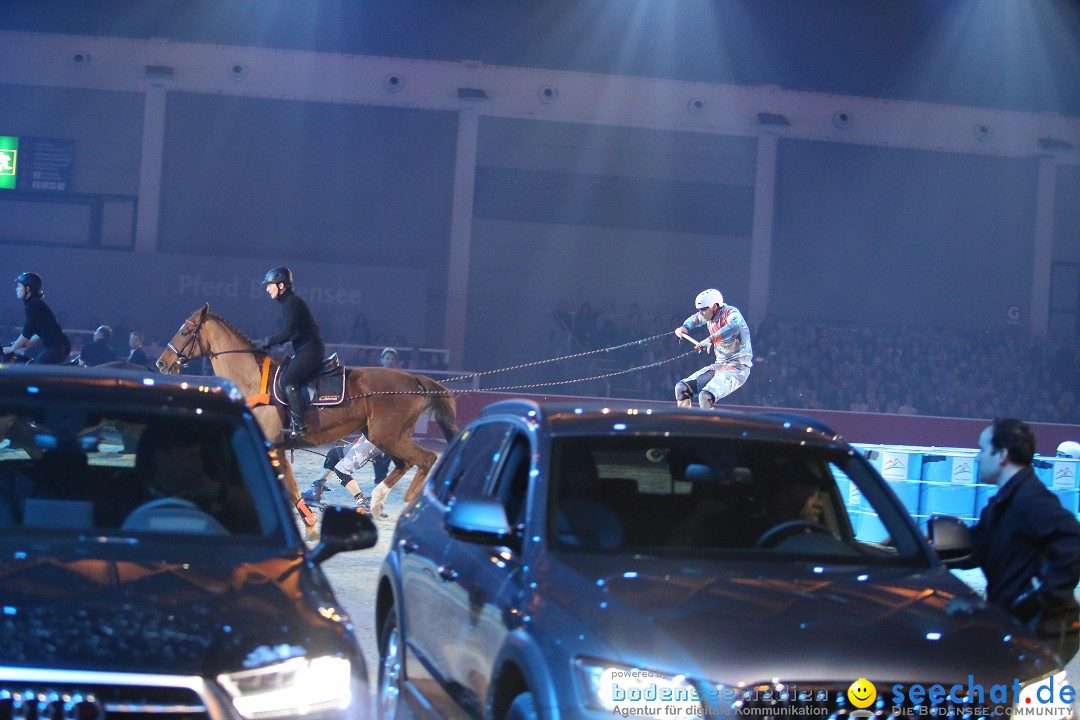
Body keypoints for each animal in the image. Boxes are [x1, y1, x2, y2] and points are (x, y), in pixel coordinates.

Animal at [154, 302, 457, 518]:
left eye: (184, 332)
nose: (161, 363)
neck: (252, 378)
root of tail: (413, 380)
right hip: (384, 436)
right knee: (405, 464)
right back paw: (378, 501)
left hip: (388, 436)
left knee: (426, 459)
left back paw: (406, 505)